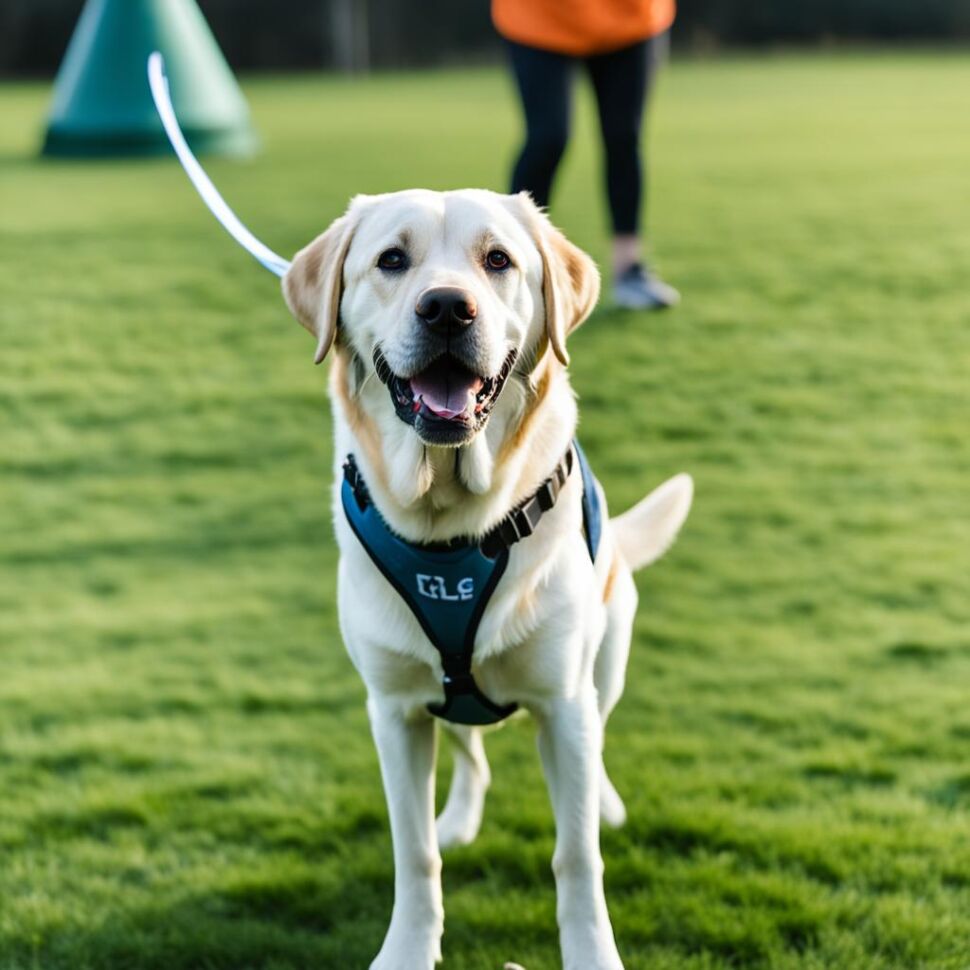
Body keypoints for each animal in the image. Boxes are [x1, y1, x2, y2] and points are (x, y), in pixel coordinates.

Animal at [278, 189, 688, 968]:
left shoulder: (563, 703)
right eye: (392, 260)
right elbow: (414, 855)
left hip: (607, 660)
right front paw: (407, 949)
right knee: (472, 755)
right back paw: (460, 821)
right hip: (442, 694)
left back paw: (605, 801)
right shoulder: (395, 711)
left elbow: (577, 856)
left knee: (597, 736)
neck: (451, 525)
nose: (446, 309)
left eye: (498, 260)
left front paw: (594, 952)